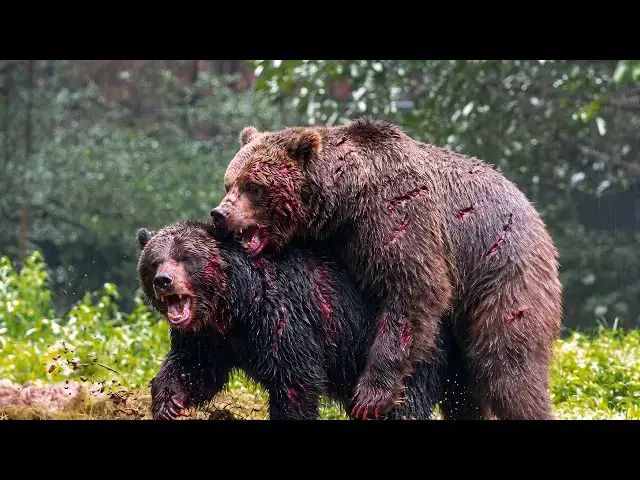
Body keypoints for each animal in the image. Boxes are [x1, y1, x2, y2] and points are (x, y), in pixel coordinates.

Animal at [136, 220, 454, 420]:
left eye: (185, 257)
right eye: (154, 260)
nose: (163, 280)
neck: (238, 306)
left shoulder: (285, 318)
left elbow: (294, 379)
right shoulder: (208, 338)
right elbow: (194, 367)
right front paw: (168, 401)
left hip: (405, 353)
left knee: (402, 403)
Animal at [211, 117, 563, 420]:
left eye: (253, 186)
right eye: (229, 183)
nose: (220, 214)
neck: (345, 201)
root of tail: (537, 217)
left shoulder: (397, 214)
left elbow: (414, 288)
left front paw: (371, 394)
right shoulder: (337, 242)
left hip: (503, 275)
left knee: (509, 367)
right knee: (463, 390)